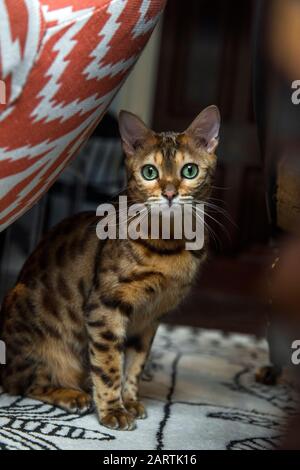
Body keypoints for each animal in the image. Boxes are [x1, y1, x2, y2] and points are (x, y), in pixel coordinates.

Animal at [0, 105, 220, 430]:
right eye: (149, 172)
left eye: (189, 171)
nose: (169, 193)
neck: (169, 246)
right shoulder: (106, 307)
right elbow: (108, 365)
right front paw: (113, 410)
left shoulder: (150, 319)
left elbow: (135, 364)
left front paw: (130, 400)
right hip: (30, 330)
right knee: (26, 384)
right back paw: (72, 395)